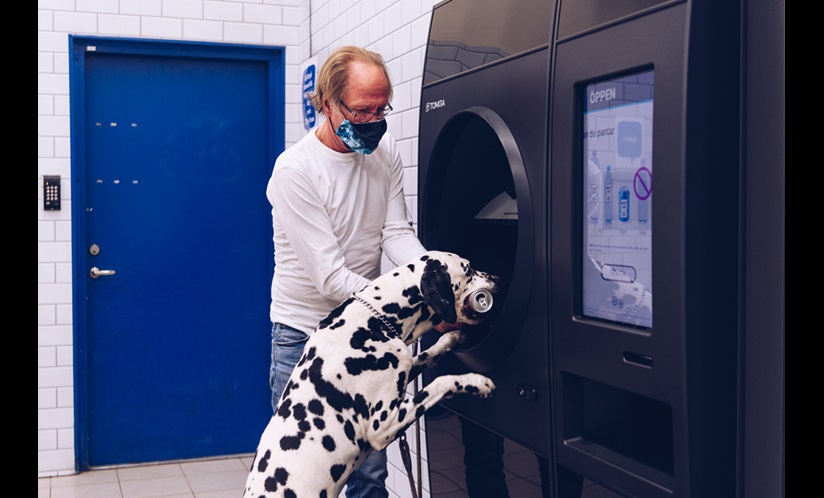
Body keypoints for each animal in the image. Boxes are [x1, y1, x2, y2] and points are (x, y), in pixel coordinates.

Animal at [241, 251, 498, 498]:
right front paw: (476, 381)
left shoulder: (405, 369)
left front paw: (451, 338)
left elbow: (429, 354)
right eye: (468, 268)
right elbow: (439, 383)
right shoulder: (383, 426)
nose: (496, 278)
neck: (377, 318)